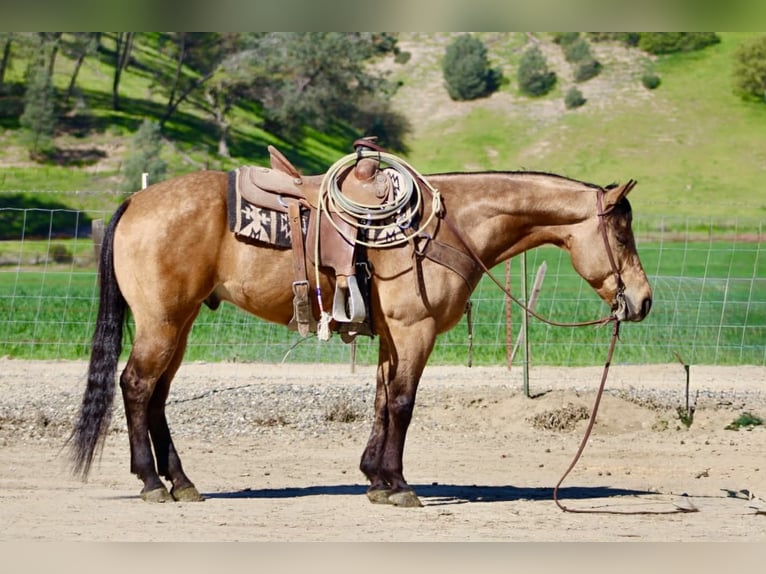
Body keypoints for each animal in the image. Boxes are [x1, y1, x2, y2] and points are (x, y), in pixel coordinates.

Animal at [69, 154, 652, 507]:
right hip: (163, 322)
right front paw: (399, 485)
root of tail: (135, 202)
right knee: (137, 386)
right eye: (623, 234)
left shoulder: (393, 335)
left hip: (180, 322)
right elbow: (403, 403)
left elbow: (380, 400)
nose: (643, 300)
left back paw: (182, 482)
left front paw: (375, 477)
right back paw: (151, 482)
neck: (450, 225)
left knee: (158, 395)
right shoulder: (416, 330)